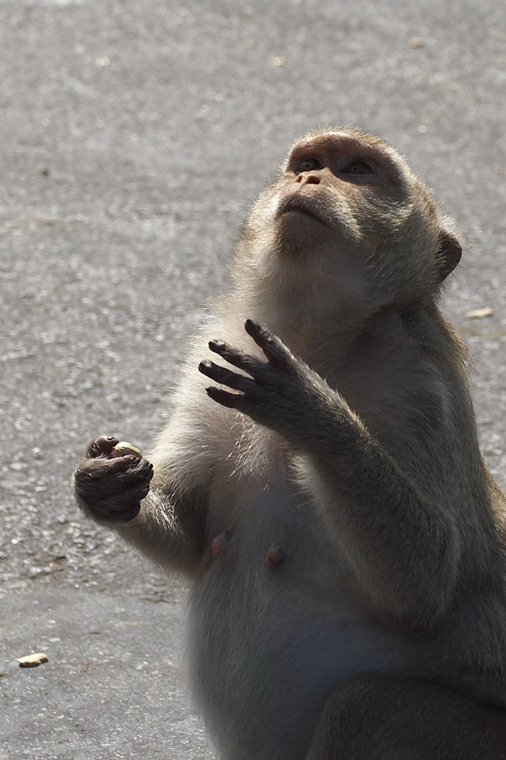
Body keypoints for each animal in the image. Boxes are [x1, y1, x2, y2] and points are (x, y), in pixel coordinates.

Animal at [74, 128, 506, 759]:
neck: (322, 339)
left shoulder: (423, 391)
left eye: (357, 170)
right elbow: (193, 535)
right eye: (310, 162)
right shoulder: (207, 369)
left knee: (364, 706)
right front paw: (104, 485)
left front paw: (311, 409)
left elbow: (424, 585)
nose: (310, 179)